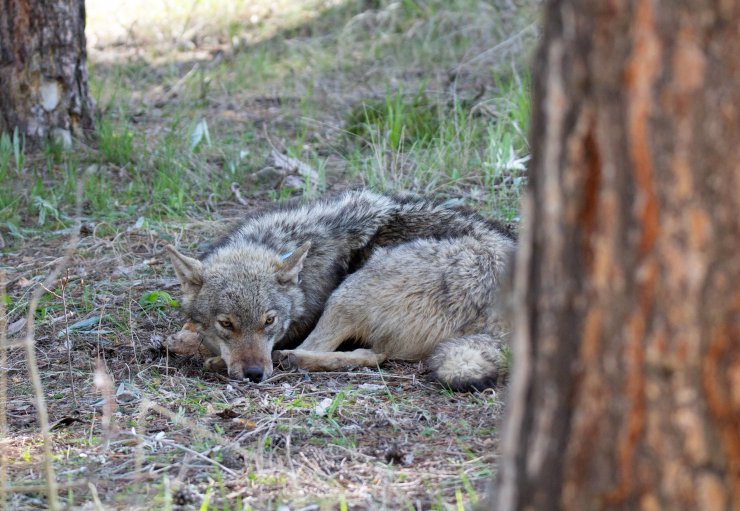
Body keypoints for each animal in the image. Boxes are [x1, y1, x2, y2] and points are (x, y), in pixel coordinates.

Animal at [167, 190, 516, 390]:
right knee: (372, 355)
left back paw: (285, 359)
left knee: (341, 351)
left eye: (270, 321)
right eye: (226, 324)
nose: (254, 374)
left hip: (349, 292)